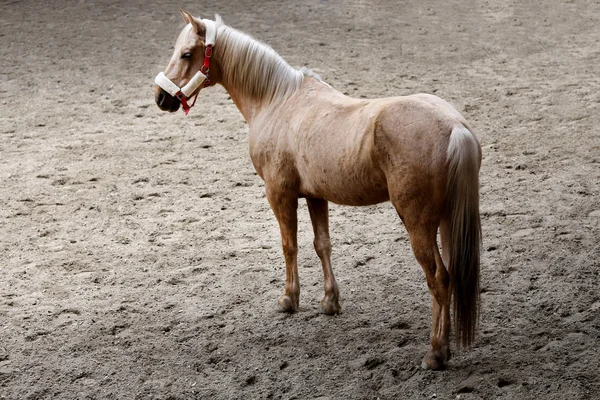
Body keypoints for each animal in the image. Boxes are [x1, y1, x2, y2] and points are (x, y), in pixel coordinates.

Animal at [155, 10, 482, 370]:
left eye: (187, 54)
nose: (160, 97)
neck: (278, 101)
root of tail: (455, 128)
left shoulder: (279, 194)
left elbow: (290, 246)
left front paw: (289, 299)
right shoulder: (315, 196)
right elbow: (322, 244)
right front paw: (330, 301)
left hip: (418, 223)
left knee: (438, 278)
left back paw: (435, 352)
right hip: (448, 220)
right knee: (451, 275)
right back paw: (446, 346)